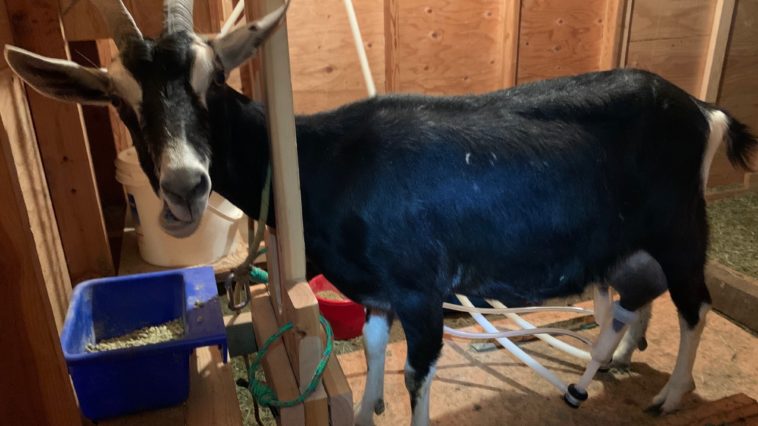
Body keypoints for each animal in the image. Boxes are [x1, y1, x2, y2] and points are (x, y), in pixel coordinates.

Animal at [5, 1, 756, 425]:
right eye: (119, 99)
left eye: (211, 83)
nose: (187, 185)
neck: (325, 158)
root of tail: (702, 109)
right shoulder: (374, 293)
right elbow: (367, 351)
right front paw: (366, 410)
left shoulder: (421, 294)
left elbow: (416, 374)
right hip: (629, 246)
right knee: (633, 304)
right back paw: (603, 371)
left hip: (681, 228)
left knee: (696, 305)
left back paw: (669, 397)